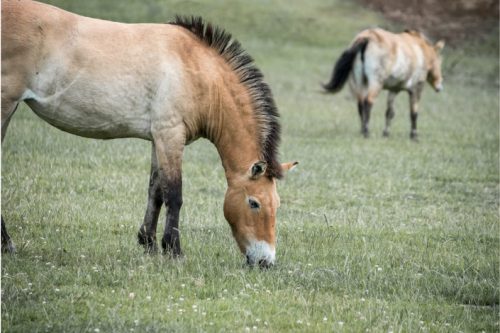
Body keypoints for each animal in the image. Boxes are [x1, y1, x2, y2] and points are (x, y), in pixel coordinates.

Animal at [0, 0, 296, 268]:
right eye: (254, 203)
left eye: (277, 205)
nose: (266, 261)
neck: (196, 69)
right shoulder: (170, 135)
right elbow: (174, 194)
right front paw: (174, 250)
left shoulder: (158, 139)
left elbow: (156, 191)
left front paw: (149, 243)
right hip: (6, 106)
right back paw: (8, 244)